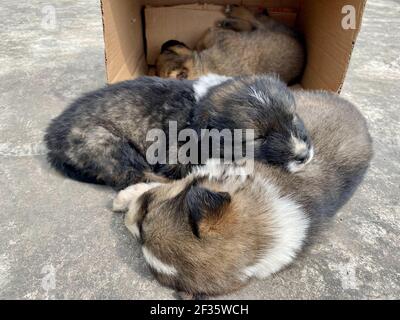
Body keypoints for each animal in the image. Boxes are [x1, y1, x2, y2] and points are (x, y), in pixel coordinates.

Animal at [44, 74, 312, 190]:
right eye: (257, 138)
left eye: (293, 116)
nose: (303, 156)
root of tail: (50, 138)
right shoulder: (174, 157)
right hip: (105, 143)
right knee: (135, 176)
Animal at [111, 89, 372, 298]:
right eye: (146, 211)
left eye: (144, 222)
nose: (126, 221)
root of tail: (358, 113)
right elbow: (166, 180)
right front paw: (125, 196)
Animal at [155, 6, 304, 84]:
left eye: (170, 50)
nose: (165, 43)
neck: (202, 66)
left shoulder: (212, 36)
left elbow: (201, 40)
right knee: (254, 23)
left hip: (271, 28)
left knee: (255, 21)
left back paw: (235, 11)